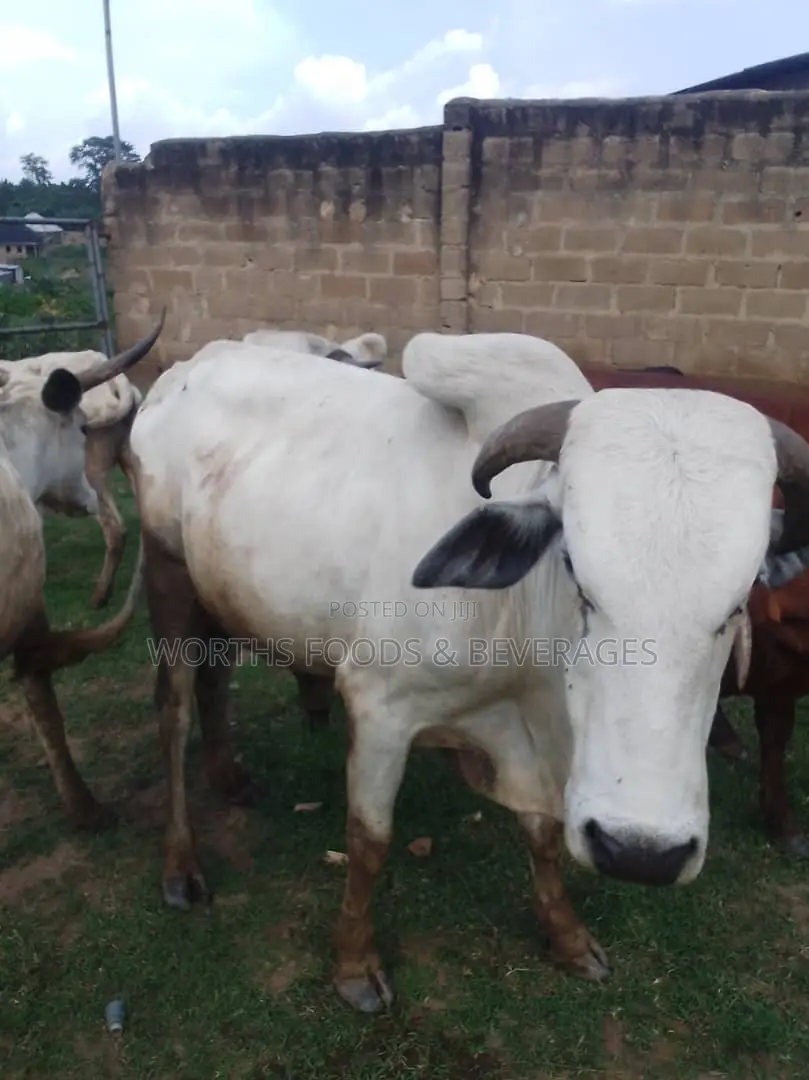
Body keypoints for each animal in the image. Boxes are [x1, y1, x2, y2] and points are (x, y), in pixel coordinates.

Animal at [128, 330, 809, 1014]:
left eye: (741, 599)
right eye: (574, 568)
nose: (641, 853)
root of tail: (189, 366)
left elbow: (542, 834)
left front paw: (567, 938)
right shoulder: (380, 709)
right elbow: (368, 840)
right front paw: (354, 964)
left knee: (215, 684)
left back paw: (230, 779)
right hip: (169, 579)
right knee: (174, 711)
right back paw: (180, 865)